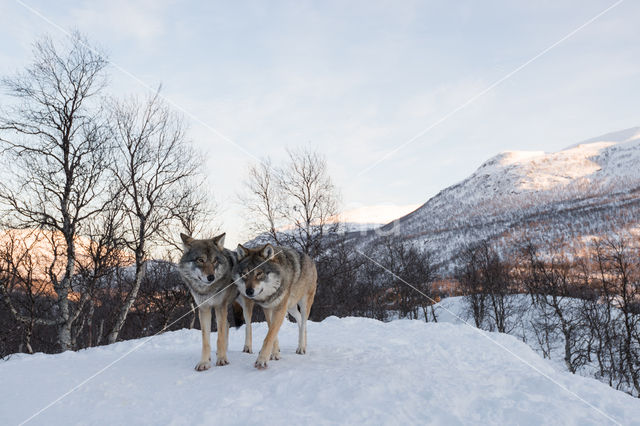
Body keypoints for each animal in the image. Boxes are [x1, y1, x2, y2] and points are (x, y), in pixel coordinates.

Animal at [178, 233, 255, 370]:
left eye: (214, 261)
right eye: (200, 260)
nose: (211, 277)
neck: (208, 290)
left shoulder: (220, 306)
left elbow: (220, 337)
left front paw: (222, 359)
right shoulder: (204, 309)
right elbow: (206, 340)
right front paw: (204, 362)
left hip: (245, 306)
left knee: (248, 325)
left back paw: (247, 348)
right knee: (228, 324)